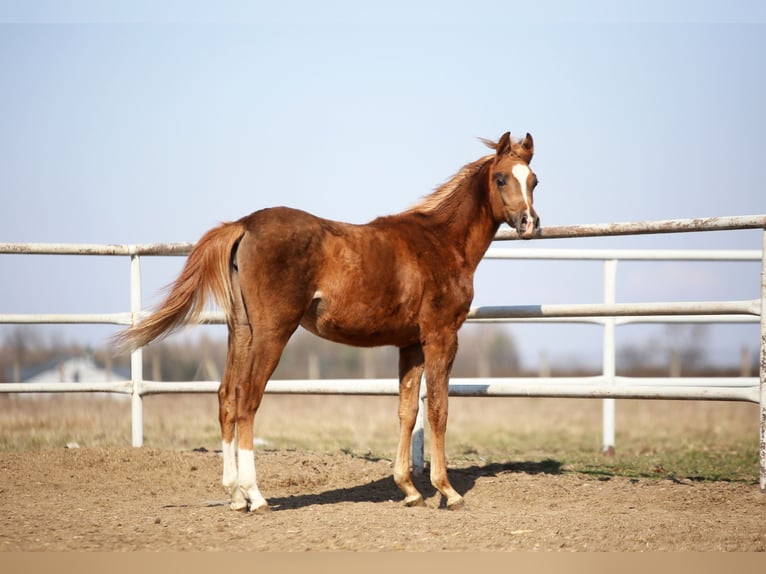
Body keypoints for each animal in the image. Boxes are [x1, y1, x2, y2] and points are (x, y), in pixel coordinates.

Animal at [115, 131, 540, 512]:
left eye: (533, 180)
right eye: (501, 178)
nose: (528, 222)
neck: (440, 243)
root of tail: (244, 224)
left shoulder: (410, 344)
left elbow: (407, 412)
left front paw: (409, 490)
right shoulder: (441, 337)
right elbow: (438, 409)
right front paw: (446, 491)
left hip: (242, 332)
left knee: (226, 397)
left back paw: (235, 496)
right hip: (272, 333)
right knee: (248, 398)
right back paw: (256, 496)